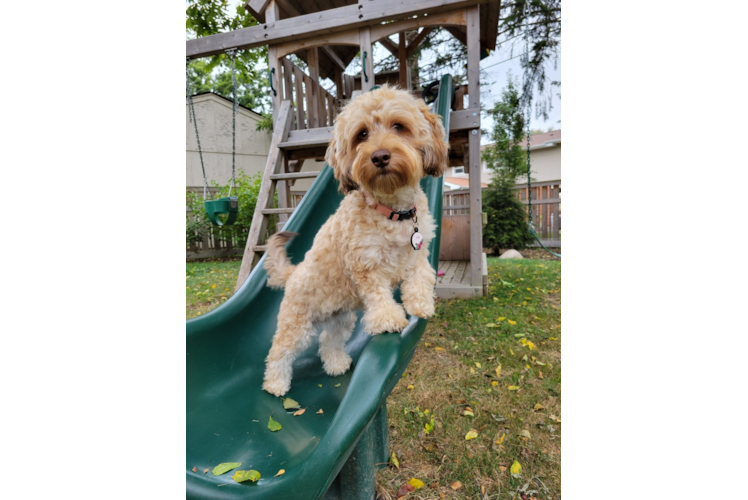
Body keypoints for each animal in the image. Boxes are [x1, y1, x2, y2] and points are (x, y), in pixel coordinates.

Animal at [262, 87, 448, 398]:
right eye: (361, 134)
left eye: (399, 126)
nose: (380, 156)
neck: (393, 212)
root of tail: (293, 273)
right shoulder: (365, 264)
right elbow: (379, 295)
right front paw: (388, 319)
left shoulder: (417, 254)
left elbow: (420, 278)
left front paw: (420, 303)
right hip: (296, 321)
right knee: (280, 352)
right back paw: (275, 384)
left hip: (339, 319)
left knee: (328, 341)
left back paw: (337, 364)